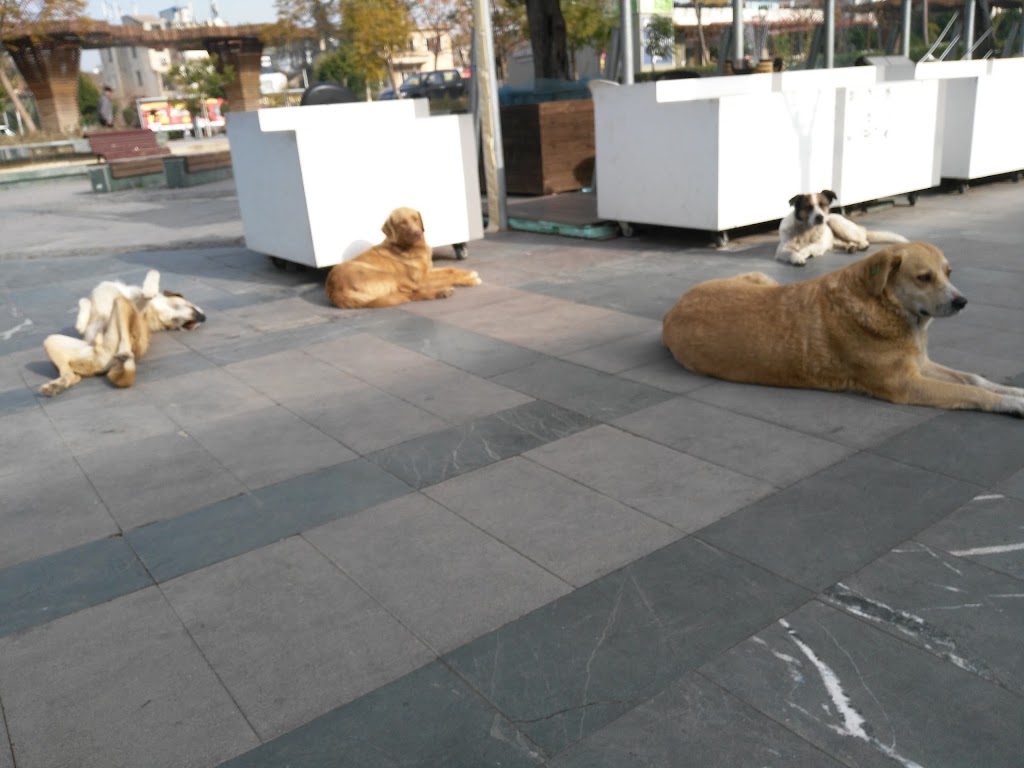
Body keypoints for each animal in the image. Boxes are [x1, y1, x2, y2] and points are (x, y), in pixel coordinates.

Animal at [39, 270, 205, 397]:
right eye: (193, 306)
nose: (204, 317)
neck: (156, 315)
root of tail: (104, 365)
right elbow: (83, 303)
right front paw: (80, 324)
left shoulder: (137, 308)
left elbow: (153, 274)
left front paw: (149, 289)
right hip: (53, 341)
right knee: (73, 377)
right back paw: (55, 386)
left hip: (121, 304)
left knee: (126, 350)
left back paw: (125, 356)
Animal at [325, 207, 481, 309]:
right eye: (402, 223)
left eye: (415, 219)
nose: (417, 233)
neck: (410, 247)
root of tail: (334, 291)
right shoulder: (421, 279)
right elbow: (449, 276)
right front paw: (470, 280)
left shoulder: (427, 271)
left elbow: (450, 269)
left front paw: (467, 273)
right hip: (388, 275)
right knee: (411, 293)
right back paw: (441, 291)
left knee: (410, 295)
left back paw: (442, 292)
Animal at [663, 242, 1024, 416]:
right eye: (924, 277)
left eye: (948, 273)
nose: (962, 301)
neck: (883, 307)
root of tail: (672, 310)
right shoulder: (905, 383)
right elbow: (972, 393)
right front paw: (1010, 404)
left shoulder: (920, 363)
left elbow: (974, 379)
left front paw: (1014, 392)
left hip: (762, 280)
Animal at [776, 190, 908, 266]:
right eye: (808, 207)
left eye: (823, 205)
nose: (820, 217)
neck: (806, 231)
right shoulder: (781, 249)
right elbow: (789, 252)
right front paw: (796, 257)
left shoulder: (818, 245)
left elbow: (808, 248)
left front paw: (801, 254)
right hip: (837, 238)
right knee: (847, 243)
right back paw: (851, 247)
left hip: (837, 222)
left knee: (863, 239)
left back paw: (862, 245)